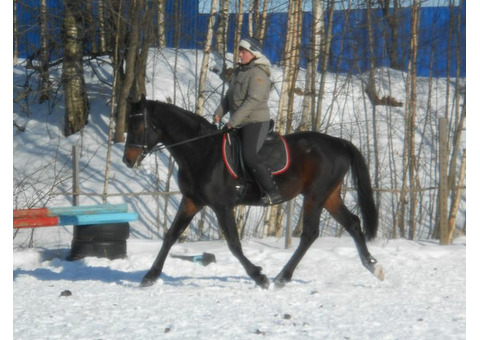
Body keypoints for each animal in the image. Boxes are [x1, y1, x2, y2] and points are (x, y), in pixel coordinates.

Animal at [123, 95, 382, 286]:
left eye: (138, 124)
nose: (127, 160)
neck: (202, 151)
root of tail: (340, 142)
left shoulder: (222, 206)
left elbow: (234, 244)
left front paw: (259, 276)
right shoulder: (191, 201)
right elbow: (170, 236)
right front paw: (150, 276)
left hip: (315, 196)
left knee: (310, 234)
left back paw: (281, 277)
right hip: (329, 196)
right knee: (352, 223)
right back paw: (372, 265)